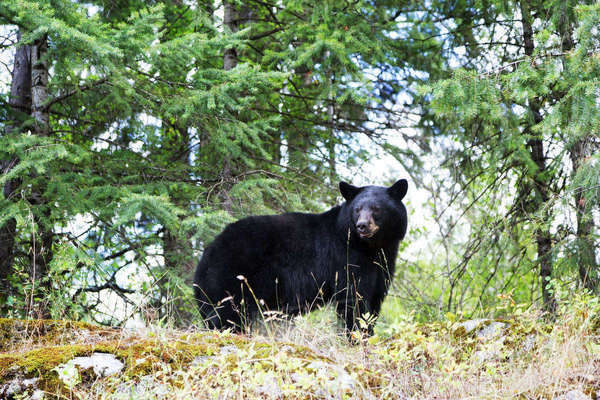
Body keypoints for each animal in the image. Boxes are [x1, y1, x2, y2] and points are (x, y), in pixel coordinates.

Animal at [192, 180, 408, 332]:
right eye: (357, 209)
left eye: (377, 208)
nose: (362, 225)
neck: (370, 246)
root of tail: (207, 253)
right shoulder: (346, 258)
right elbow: (354, 297)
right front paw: (355, 336)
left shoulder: (383, 263)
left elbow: (374, 299)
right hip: (231, 274)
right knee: (226, 312)